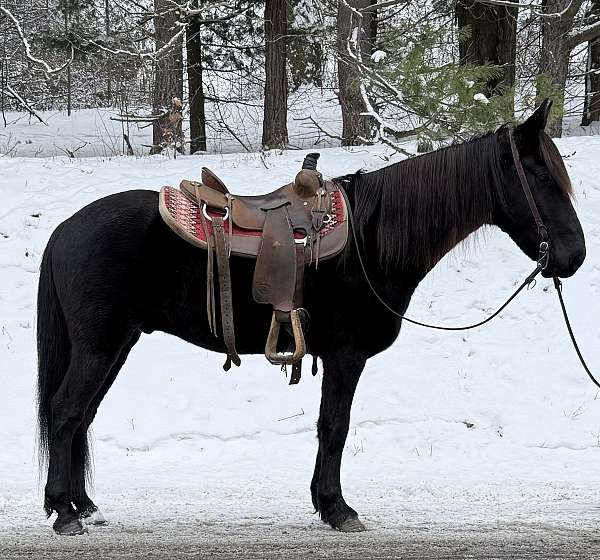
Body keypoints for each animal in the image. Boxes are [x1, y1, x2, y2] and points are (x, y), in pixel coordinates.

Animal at [37, 100, 584, 532]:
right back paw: (64, 513)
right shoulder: (346, 355)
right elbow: (335, 427)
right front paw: (338, 508)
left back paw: (83, 505)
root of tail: (66, 227)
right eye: (541, 176)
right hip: (99, 347)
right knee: (66, 412)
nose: (574, 256)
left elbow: (328, 426)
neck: (370, 239)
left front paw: (326, 504)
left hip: (116, 346)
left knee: (82, 416)